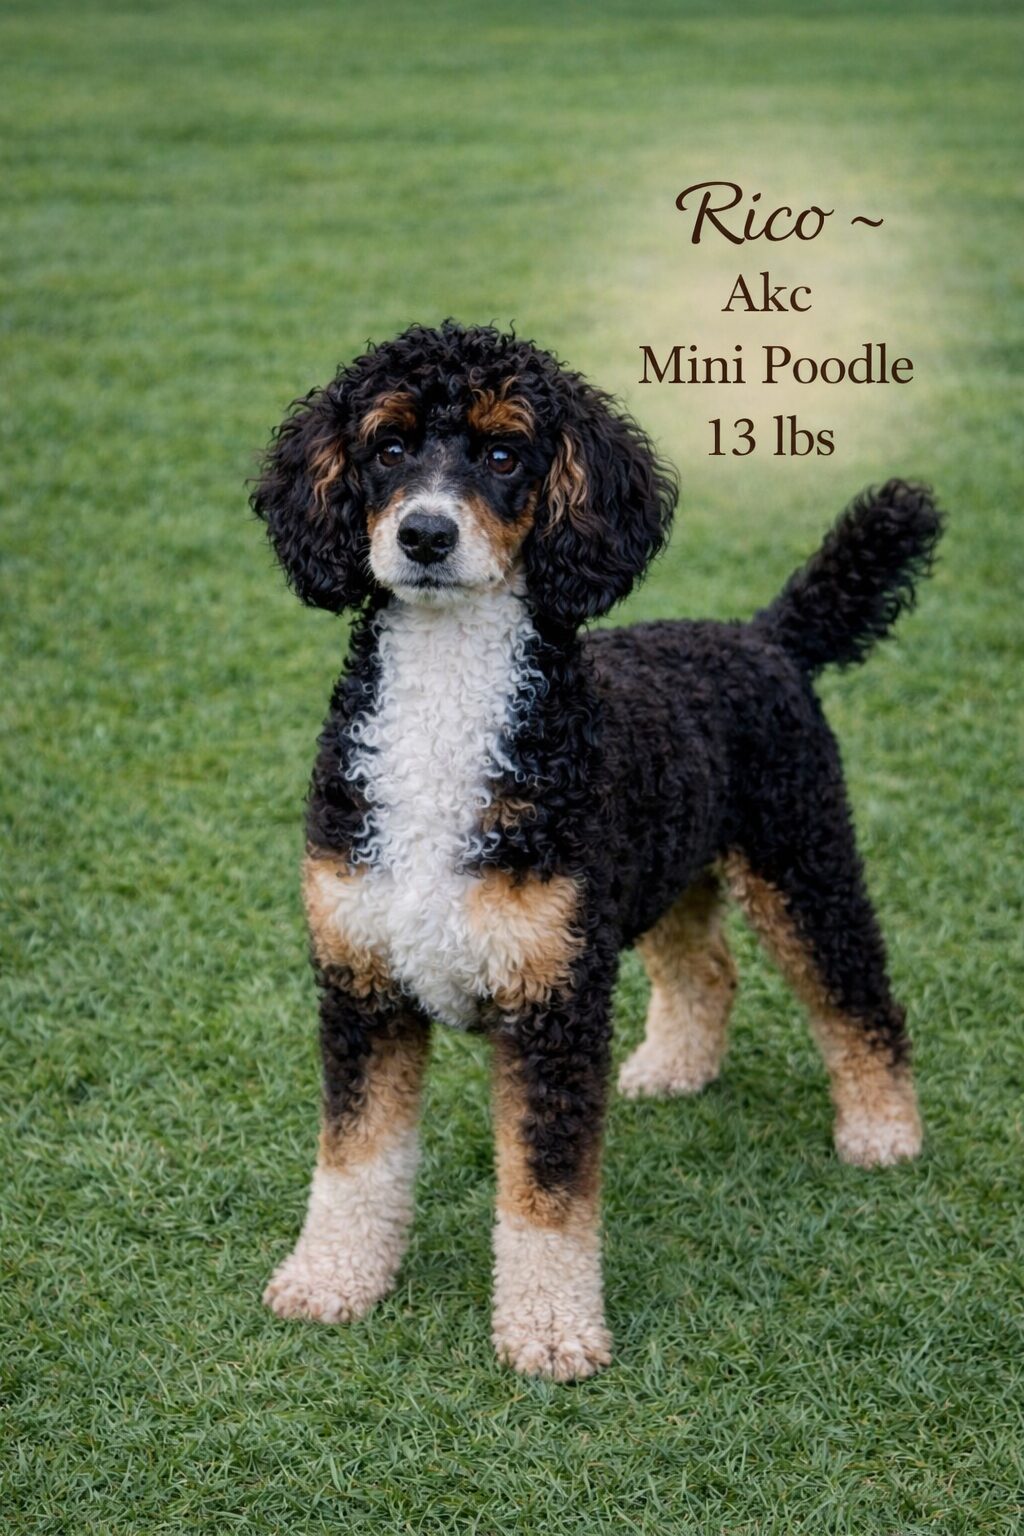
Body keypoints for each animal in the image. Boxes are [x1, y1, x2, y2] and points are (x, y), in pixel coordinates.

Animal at [251, 320, 942, 1380]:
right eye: (389, 446)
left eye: (504, 454)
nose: (425, 536)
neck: (448, 724)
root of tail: (765, 637)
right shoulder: (364, 982)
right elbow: (355, 1159)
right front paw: (331, 1278)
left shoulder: (554, 1001)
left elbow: (546, 1189)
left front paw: (548, 1329)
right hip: (666, 876)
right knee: (707, 969)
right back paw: (677, 1067)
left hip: (802, 857)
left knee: (856, 992)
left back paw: (881, 1128)